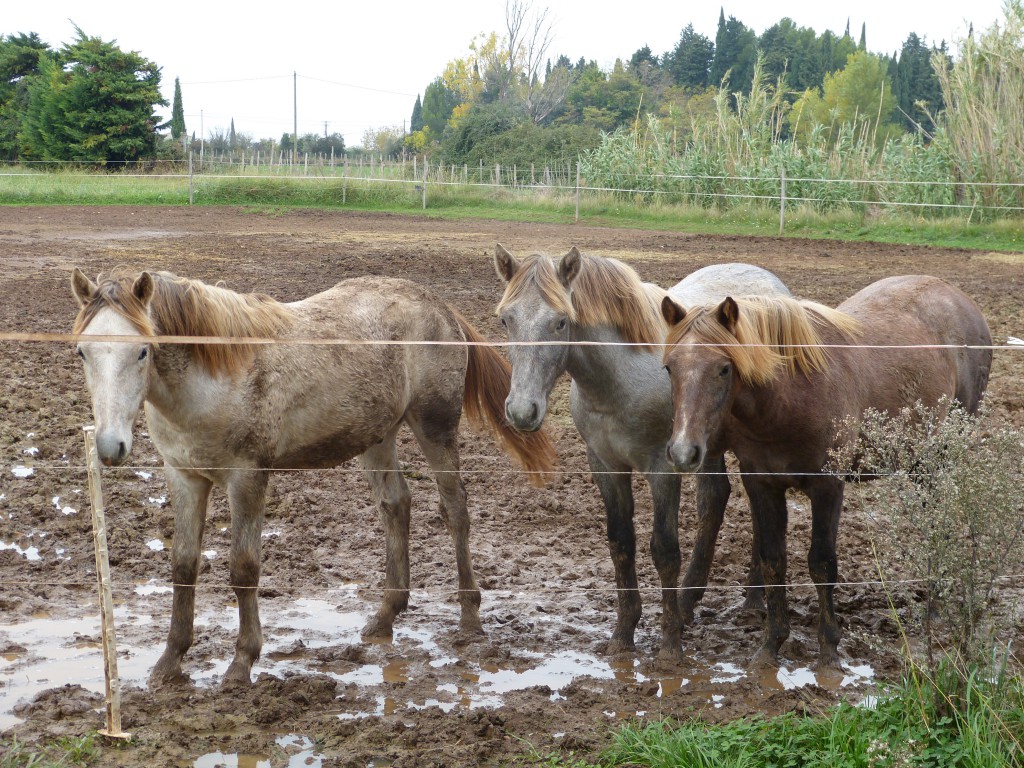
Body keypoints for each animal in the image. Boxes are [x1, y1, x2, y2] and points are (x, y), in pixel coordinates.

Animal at [72, 268, 557, 684]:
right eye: (82, 351)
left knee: (455, 509)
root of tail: (440, 306)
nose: (110, 446)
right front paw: (170, 661)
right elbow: (183, 565)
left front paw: (242, 661)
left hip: (435, 427)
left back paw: (470, 619)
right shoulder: (185, 477)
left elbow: (243, 567)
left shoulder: (247, 478)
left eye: (142, 349)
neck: (214, 376)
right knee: (396, 504)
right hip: (377, 436)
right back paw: (386, 615)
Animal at [495, 247, 790, 663]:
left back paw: (746, 600)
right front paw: (624, 634)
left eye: (561, 321)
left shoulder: (662, 467)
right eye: (506, 319)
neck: (618, 379)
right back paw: (701, 600)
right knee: (714, 501)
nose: (522, 411)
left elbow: (664, 550)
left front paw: (669, 646)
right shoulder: (606, 466)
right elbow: (621, 543)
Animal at [663, 274, 991, 667]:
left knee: (937, 527)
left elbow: (822, 564)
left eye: (724, 368)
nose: (683, 450)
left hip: (939, 457)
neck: (789, 398)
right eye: (669, 367)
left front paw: (829, 649)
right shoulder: (762, 485)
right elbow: (773, 561)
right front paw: (771, 644)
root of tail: (961, 299)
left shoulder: (827, 487)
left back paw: (935, 609)